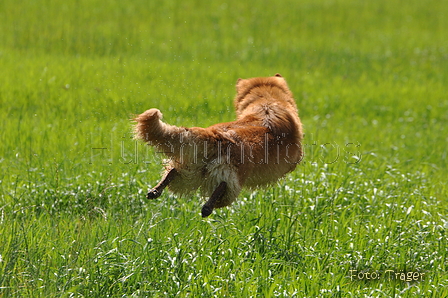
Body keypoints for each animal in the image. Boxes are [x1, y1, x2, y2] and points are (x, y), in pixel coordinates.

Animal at [133, 73, 300, 218]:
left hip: (191, 168)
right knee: (223, 187)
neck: (266, 100)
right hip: (229, 178)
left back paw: (155, 191)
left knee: (173, 171)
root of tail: (215, 135)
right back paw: (207, 207)